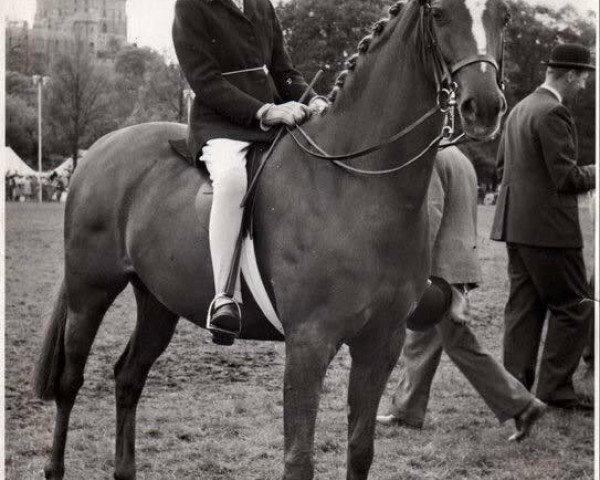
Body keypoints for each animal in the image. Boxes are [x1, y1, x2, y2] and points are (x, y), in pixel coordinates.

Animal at [34, 1, 506, 478]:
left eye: (502, 16)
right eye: (440, 14)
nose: (484, 107)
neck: (357, 185)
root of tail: (97, 150)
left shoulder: (381, 343)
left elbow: (360, 451)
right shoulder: (308, 344)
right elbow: (298, 461)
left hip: (158, 302)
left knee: (128, 377)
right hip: (90, 291)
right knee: (70, 382)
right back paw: (54, 466)